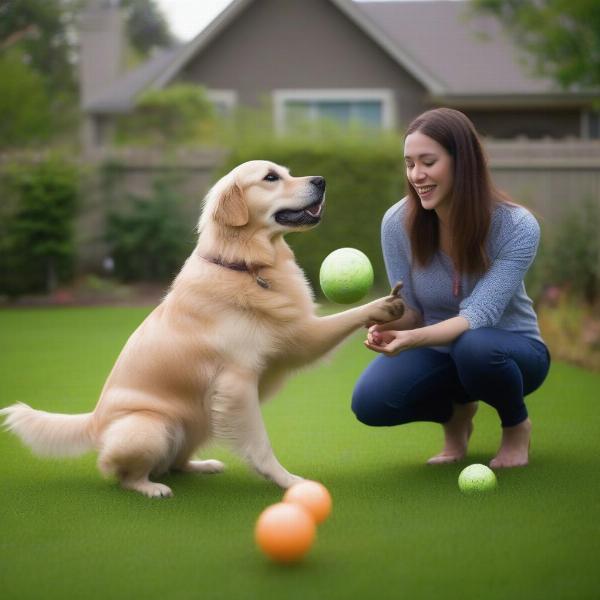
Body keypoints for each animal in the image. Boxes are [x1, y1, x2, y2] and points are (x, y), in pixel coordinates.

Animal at [1, 159, 404, 496]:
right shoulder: (238, 383)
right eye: (270, 177)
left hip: (201, 415)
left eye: (289, 172)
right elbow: (261, 443)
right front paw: (286, 481)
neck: (245, 265)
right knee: (119, 472)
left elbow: (340, 321)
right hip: (152, 426)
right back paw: (150, 487)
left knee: (175, 463)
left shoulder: (295, 341)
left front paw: (385, 306)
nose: (321, 180)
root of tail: (94, 421)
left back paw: (201, 465)